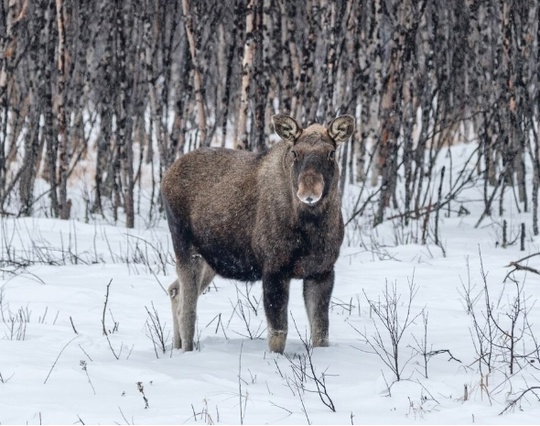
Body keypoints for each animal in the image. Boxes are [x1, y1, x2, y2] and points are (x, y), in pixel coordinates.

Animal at [160, 113, 354, 352]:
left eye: (331, 153)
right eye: (295, 152)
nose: (309, 192)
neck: (311, 228)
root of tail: (166, 176)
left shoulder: (322, 271)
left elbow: (320, 333)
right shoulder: (274, 269)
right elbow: (278, 333)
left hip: (209, 261)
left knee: (174, 290)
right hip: (185, 248)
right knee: (187, 310)